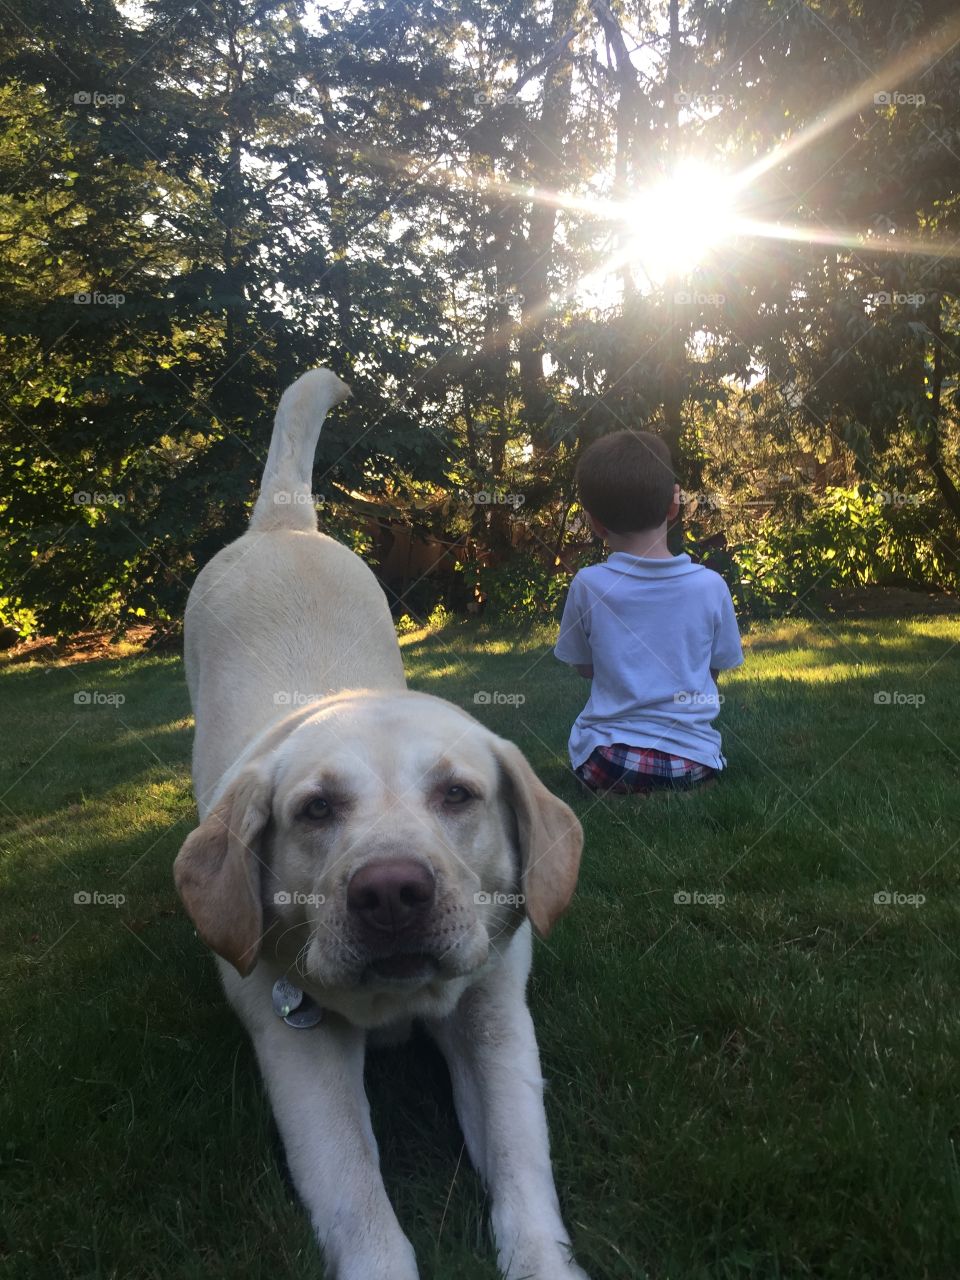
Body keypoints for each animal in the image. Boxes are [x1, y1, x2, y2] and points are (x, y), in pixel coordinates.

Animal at [176, 368, 591, 1280]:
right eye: (316, 810)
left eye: (458, 795)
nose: (393, 893)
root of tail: (284, 522)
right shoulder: (298, 1045)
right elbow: (356, 1198)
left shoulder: (497, 1019)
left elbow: (523, 1167)